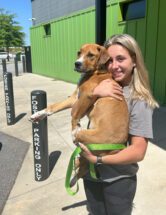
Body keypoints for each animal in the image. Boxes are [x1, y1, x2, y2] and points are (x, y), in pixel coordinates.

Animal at [30, 44, 129, 185]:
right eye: (79, 53)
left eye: (91, 55)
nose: (77, 64)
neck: (96, 71)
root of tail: (117, 148)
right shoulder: (73, 98)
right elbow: (53, 107)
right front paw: (37, 114)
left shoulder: (85, 96)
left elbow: (74, 114)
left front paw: (74, 127)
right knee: (83, 164)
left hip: (87, 137)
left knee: (81, 152)